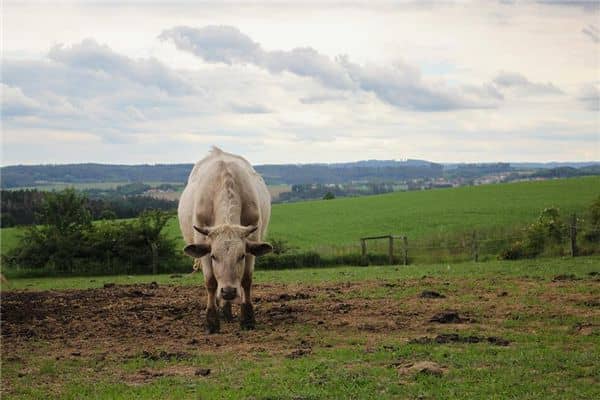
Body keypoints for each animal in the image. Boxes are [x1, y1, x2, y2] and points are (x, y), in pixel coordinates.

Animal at [178, 145, 272, 332]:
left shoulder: (253, 240)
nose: (228, 292)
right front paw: (212, 321)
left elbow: (246, 280)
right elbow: (211, 282)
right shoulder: (203, 245)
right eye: (214, 256)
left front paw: (247, 318)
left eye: (241, 256)